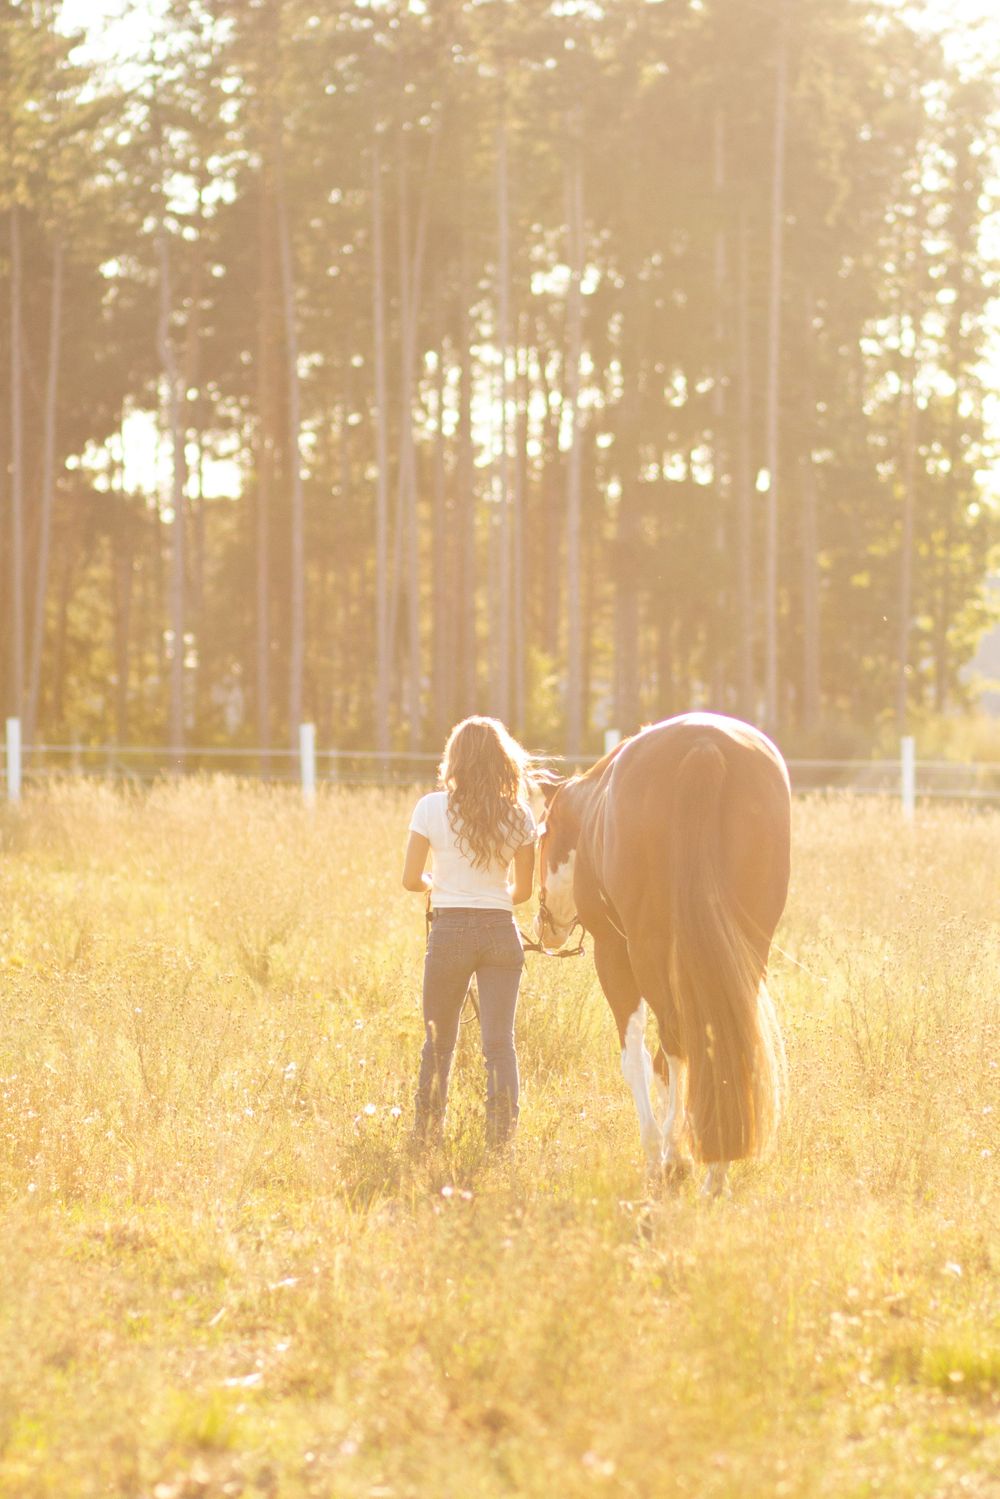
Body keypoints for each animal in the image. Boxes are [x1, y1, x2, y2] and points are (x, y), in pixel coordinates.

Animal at [533, 712, 790, 1196]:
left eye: (543, 834)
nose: (546, 928)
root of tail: (704, 746)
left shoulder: (613, 953)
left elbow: (636, 1056)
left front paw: (659, 1154)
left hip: (648, 950)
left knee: (675, 1041)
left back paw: (674, 1156)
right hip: (748, 947)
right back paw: (715, 1171)